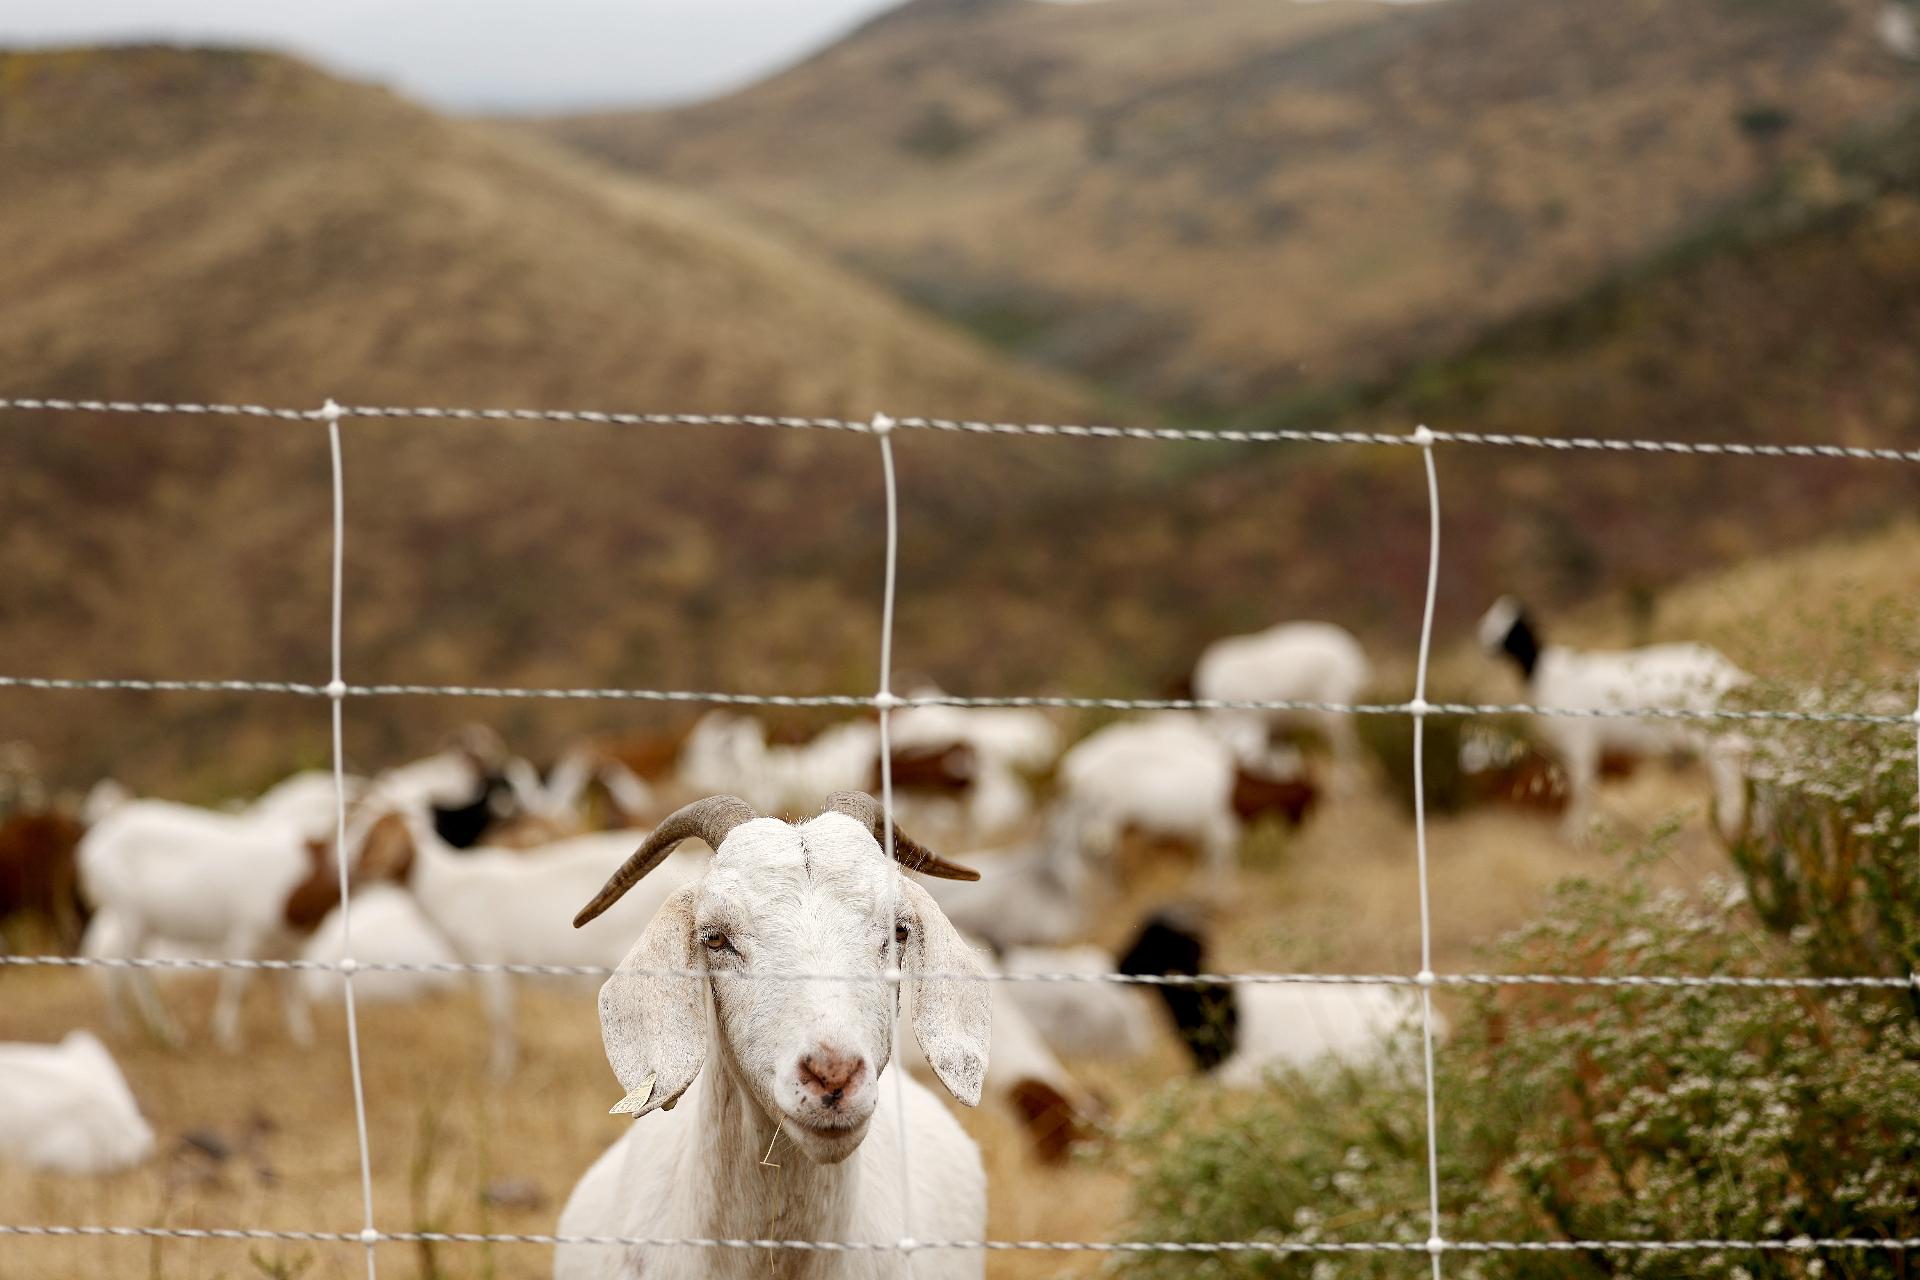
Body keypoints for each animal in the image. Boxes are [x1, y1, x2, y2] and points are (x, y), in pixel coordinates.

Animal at [1482, 598, 1758, 840]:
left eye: (1514, 625)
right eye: (1491, 616)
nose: (1487, 643)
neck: (1545, 675)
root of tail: (1728, 673)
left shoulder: (1579, 738)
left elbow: (1582, 785)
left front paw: (1573, 831)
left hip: (1711, 734)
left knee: (1728, 771)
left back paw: (1729, 822)